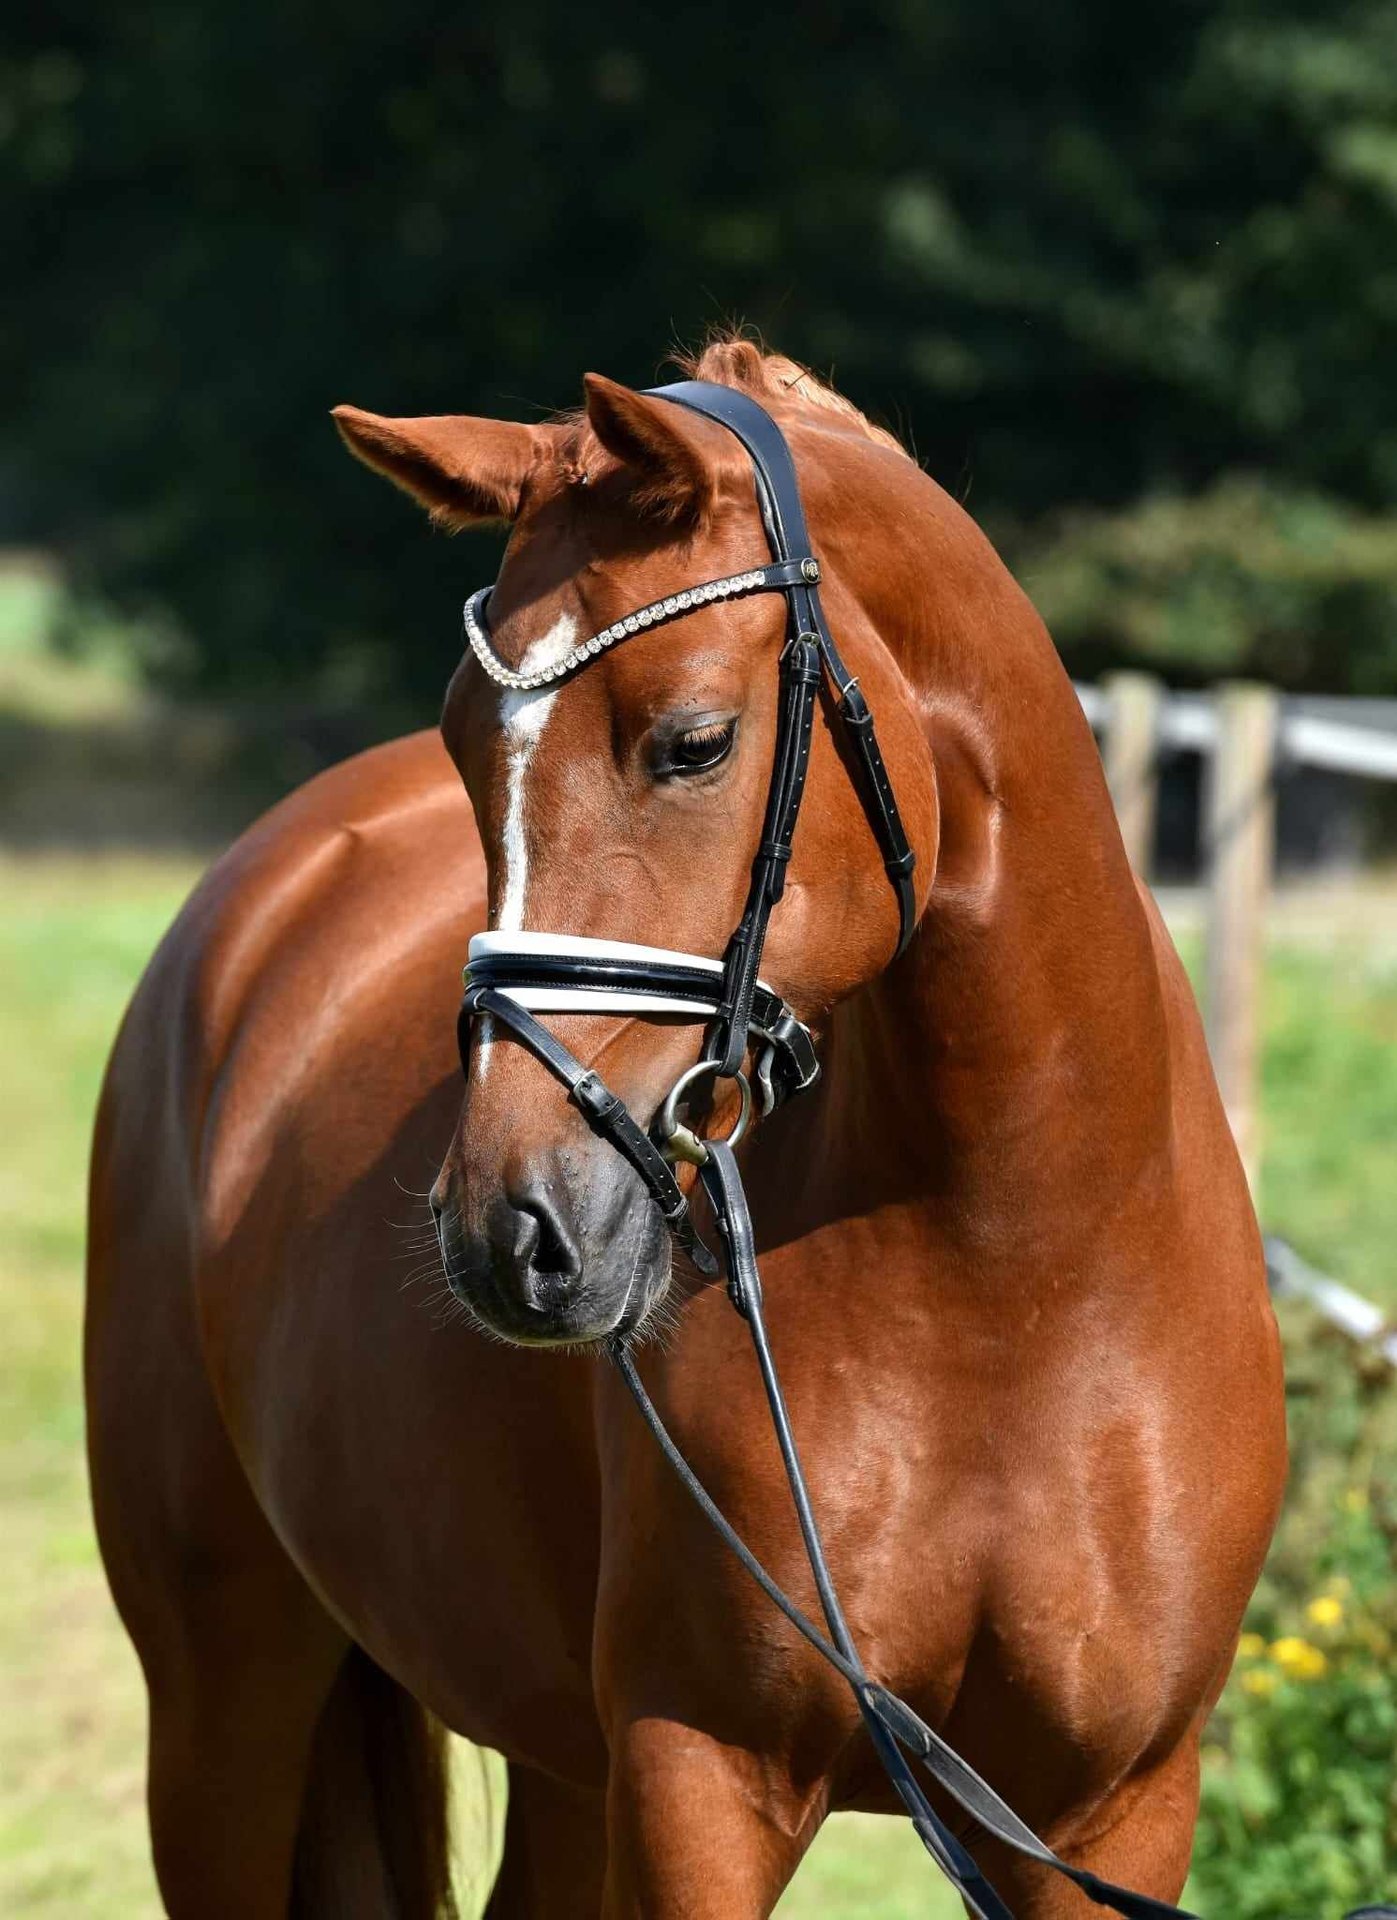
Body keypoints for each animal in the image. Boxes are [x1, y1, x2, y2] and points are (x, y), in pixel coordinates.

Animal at [87, 337, 1289, 1912]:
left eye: (696, 744)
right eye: (464, 750)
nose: (509, 1232)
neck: (1016, 1264)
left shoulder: (1109, 1816)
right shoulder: (699, 1774)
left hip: (545, 1757)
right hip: (221, 1696)